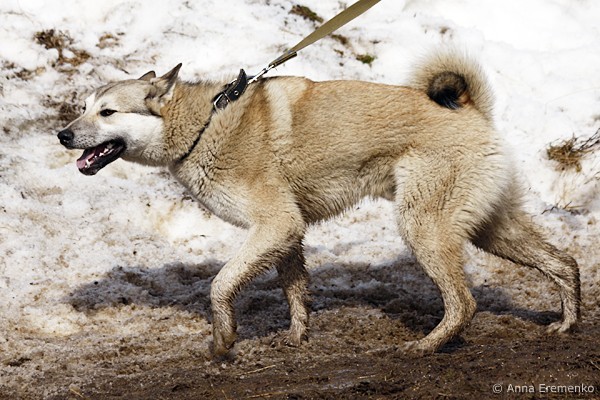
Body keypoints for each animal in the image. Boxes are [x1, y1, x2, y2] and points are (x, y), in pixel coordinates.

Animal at [57, 51, 580, 356]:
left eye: (107, 112)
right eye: (83, 108)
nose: (61, 134)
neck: (205, 125)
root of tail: (473, 110)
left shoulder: (274, 224)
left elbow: (221, 285)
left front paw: (224, 340)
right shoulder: (287, 231)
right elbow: (295, 290)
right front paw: (297, 337)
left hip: (423, 227)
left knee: (464, 302)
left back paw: (425, 347)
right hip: (490, 227)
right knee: (564, 263)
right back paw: (568, 323)